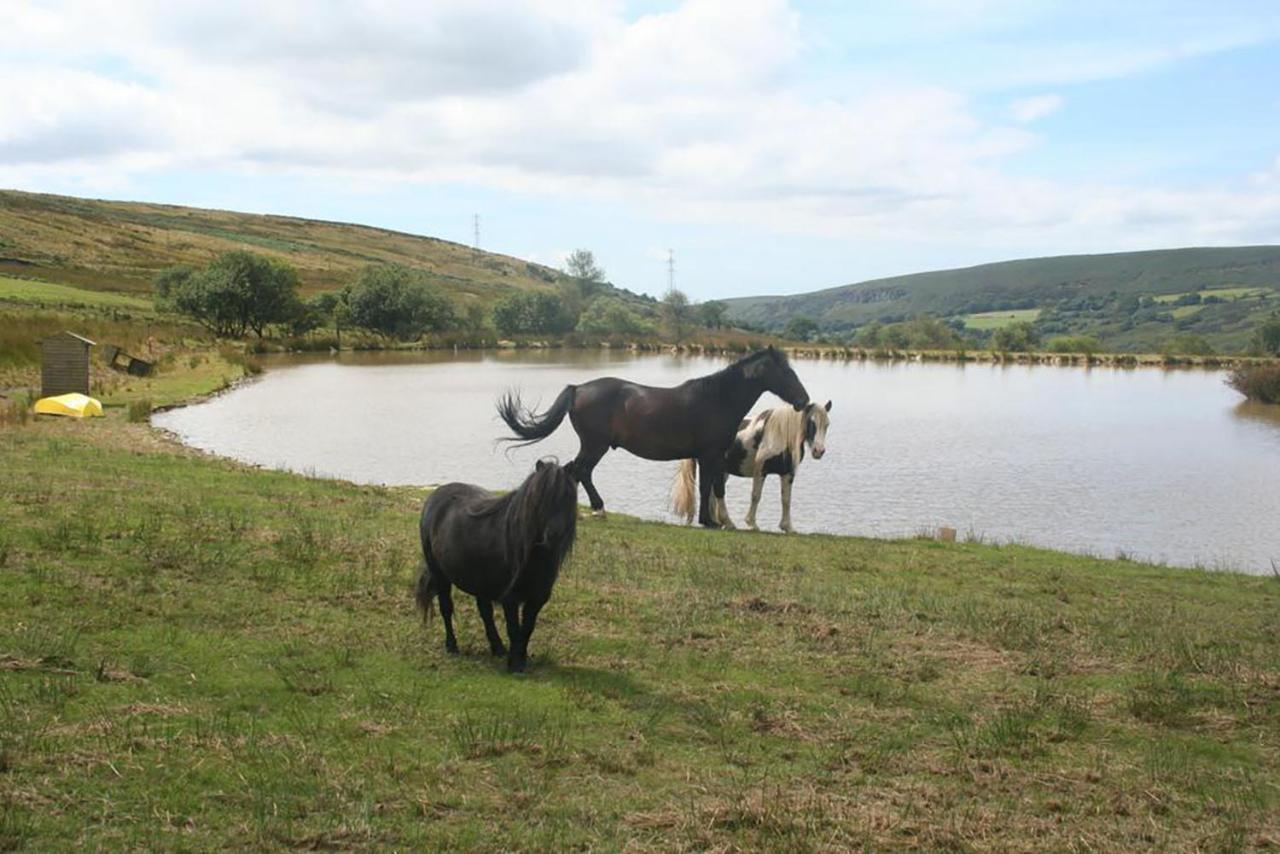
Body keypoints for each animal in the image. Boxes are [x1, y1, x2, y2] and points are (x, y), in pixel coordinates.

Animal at [417, 460, 578, 676]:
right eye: (540, 499)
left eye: (567, 497)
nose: (554, 535)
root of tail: (435, 495)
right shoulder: (510, 597)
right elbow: (514, 628)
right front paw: (515, 664)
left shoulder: (538, 598)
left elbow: (527, 628)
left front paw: (521, 658)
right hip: (441, 575)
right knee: (446, 608)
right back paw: (452, 646)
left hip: (479, 583)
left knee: (485, 612)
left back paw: (498, 648)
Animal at [494, 348, 803, 527]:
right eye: (786, 371)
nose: (803, 399)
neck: (717, 399)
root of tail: (578, 388)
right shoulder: (710, 455)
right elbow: (710, 488)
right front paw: (712, 521)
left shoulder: (711, 457)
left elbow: (713, 489)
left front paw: (717, 520)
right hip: (595, 445)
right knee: (581, 470)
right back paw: (599, 509)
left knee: (574, 470)